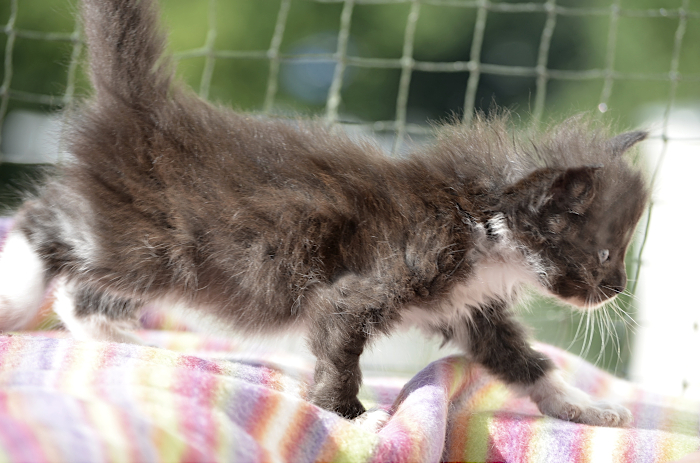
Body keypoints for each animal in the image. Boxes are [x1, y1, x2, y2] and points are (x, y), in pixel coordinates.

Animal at [0, 0, 648, 426]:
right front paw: (349, 416)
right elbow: (339, 353)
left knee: (78, 292)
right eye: (606, 253)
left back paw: (112, 332)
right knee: (41, 223)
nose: (618, 287)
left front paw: (581, 405)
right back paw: (17, 298)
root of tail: (145, 111)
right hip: (144, 244)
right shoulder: (368, 285)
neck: (480, 221)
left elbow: (524, 360)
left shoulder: (474, 308)